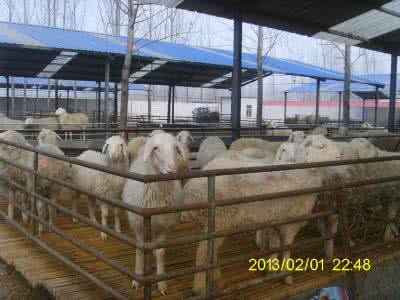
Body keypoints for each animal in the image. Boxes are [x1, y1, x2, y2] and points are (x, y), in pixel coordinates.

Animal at [122, 132, 185, 296]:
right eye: (155, 148)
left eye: (176, 148)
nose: (171, 169)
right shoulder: (138, 225)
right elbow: (139, 250)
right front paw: (137, 279)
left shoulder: (165, 226)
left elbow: (161, 252)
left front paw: (161, 283)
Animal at [183, 157, 324, 296]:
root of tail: (190, 191)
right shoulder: (290, 223)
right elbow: (287, 248)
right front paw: (287, 276)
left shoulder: (275, 221)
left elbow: (274, 246)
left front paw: (271, 270)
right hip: (219, 221)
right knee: (203, 252)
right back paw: (199, 288)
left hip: (213, 225)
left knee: (211, 252)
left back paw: (217, 279)